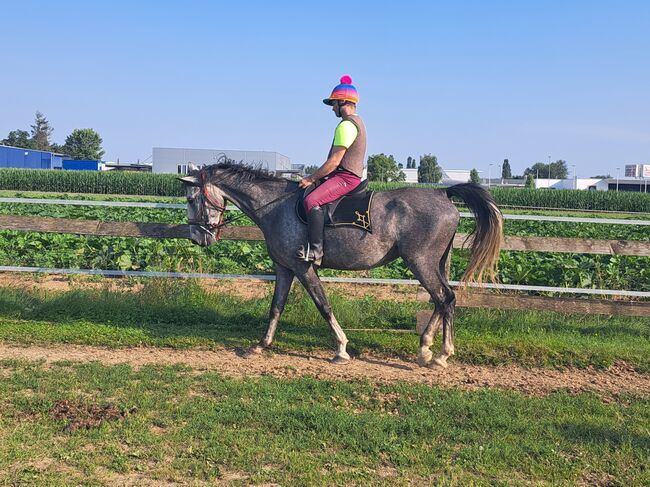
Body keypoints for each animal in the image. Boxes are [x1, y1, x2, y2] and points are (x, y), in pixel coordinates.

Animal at [177, 162, 502, 368]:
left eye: (192, 199)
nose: (198, 238)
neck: (276, 206)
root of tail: (442, 193)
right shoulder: (284, 268)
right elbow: (275, 307)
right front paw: (261, 344)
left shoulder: (303, 268)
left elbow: (323, 305)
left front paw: (341, 349)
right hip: (435, 264)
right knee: (443, 300)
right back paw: (426, 349)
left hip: (420, 262)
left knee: (444, 298)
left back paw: (440, 355)